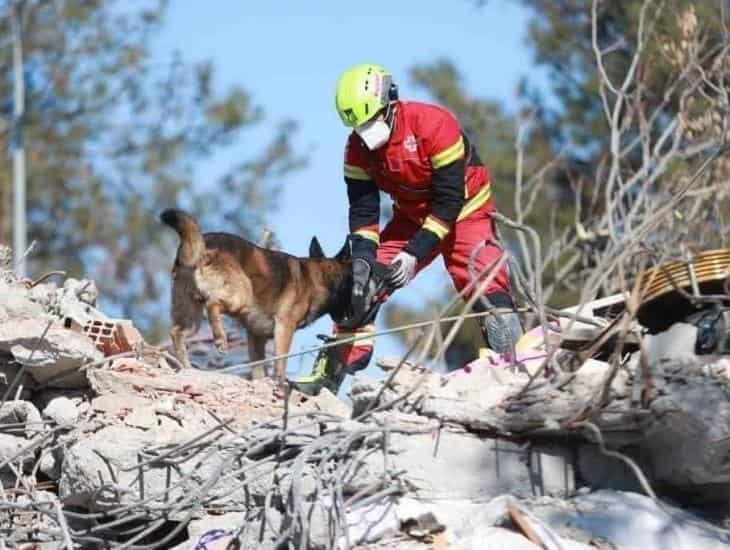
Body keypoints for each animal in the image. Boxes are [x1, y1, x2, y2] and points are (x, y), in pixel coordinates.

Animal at [160, 209, 352, 394]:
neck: (318, 278)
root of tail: (204, 242)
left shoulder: (256, 336)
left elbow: (259, 368)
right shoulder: (284, 327)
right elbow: (280, 362)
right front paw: (280, 386)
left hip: (192, 317)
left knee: (177, 332)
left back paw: (188, 368)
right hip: (241, 297)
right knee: (212, 304)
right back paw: (220, 339)